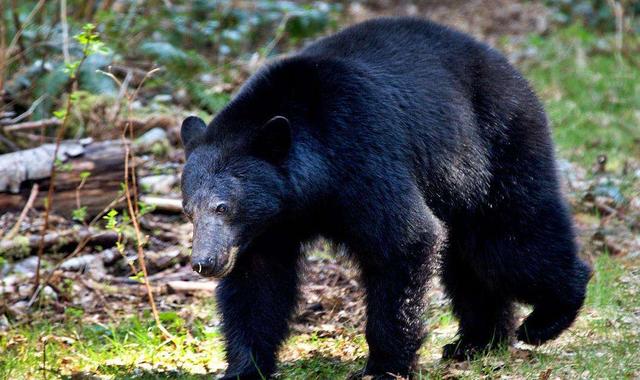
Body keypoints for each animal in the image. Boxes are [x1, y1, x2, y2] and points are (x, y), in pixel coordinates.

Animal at [179, 17, 592, 378]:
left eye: (223, 206)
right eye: (188, 211)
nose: (205, 262)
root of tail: (506, 66)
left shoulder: (364, 157)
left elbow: (403, 240)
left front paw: (384, 366)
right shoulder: (266, 227)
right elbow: (256, 284)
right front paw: (244, 368)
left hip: (497, 146)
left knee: (509, 241)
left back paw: (547, 316)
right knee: (467, 260)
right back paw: (477, 342)